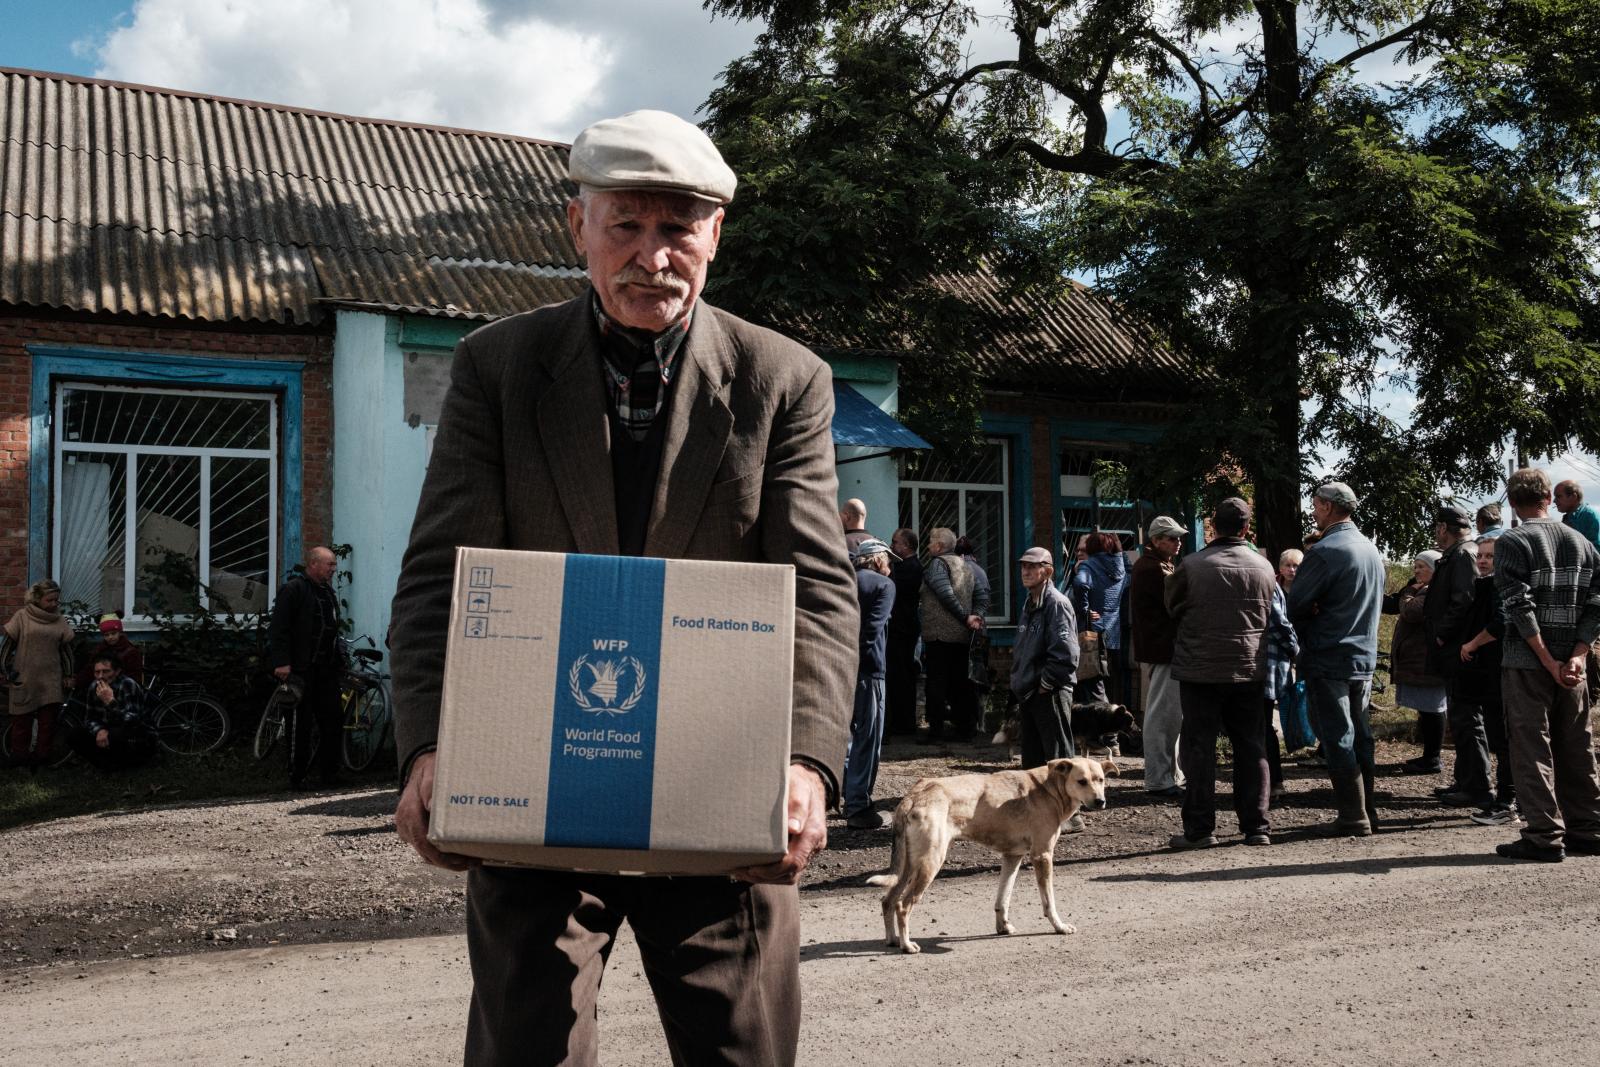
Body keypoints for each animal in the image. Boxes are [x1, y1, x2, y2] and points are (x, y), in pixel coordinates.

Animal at [870, 755, 1107, 953]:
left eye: (1101, 780)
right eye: (1082, 781)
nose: (1101, 801)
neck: (1049, 788)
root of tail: (914, 795)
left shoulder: (1012, 857)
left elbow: (1003, 899)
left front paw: (1003, 927)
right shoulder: (1042, 856)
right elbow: (1049, 902)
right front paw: (1059, 926)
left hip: (908, 867)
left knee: (887, 901)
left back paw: (893, 940)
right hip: (929, 864)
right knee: (902, 905)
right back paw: (907, 945)